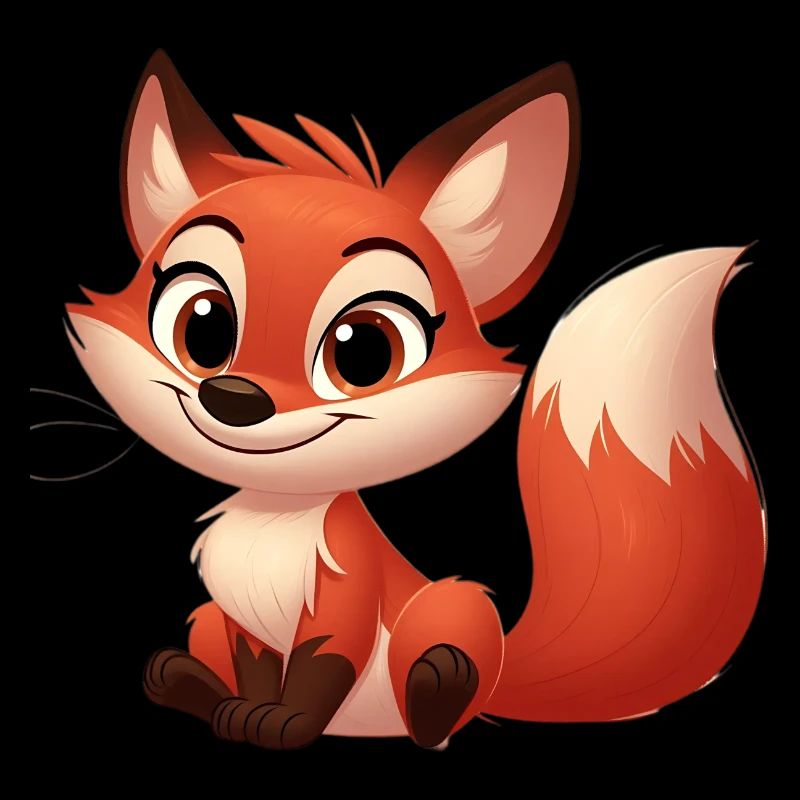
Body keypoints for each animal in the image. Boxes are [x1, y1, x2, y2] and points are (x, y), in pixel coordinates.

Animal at [64, 51, 765, 750]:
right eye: (202, 325)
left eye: (363, 350)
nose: (233, 397)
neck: (276, 519)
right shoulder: (240, 622)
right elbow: (256, 668)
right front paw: (243, 714)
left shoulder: (345, 593)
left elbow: (320, 669)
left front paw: (286, 724)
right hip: (208, 617)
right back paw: (184, 682)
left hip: (448, 608)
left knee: (436, 697)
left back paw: (437, 689)